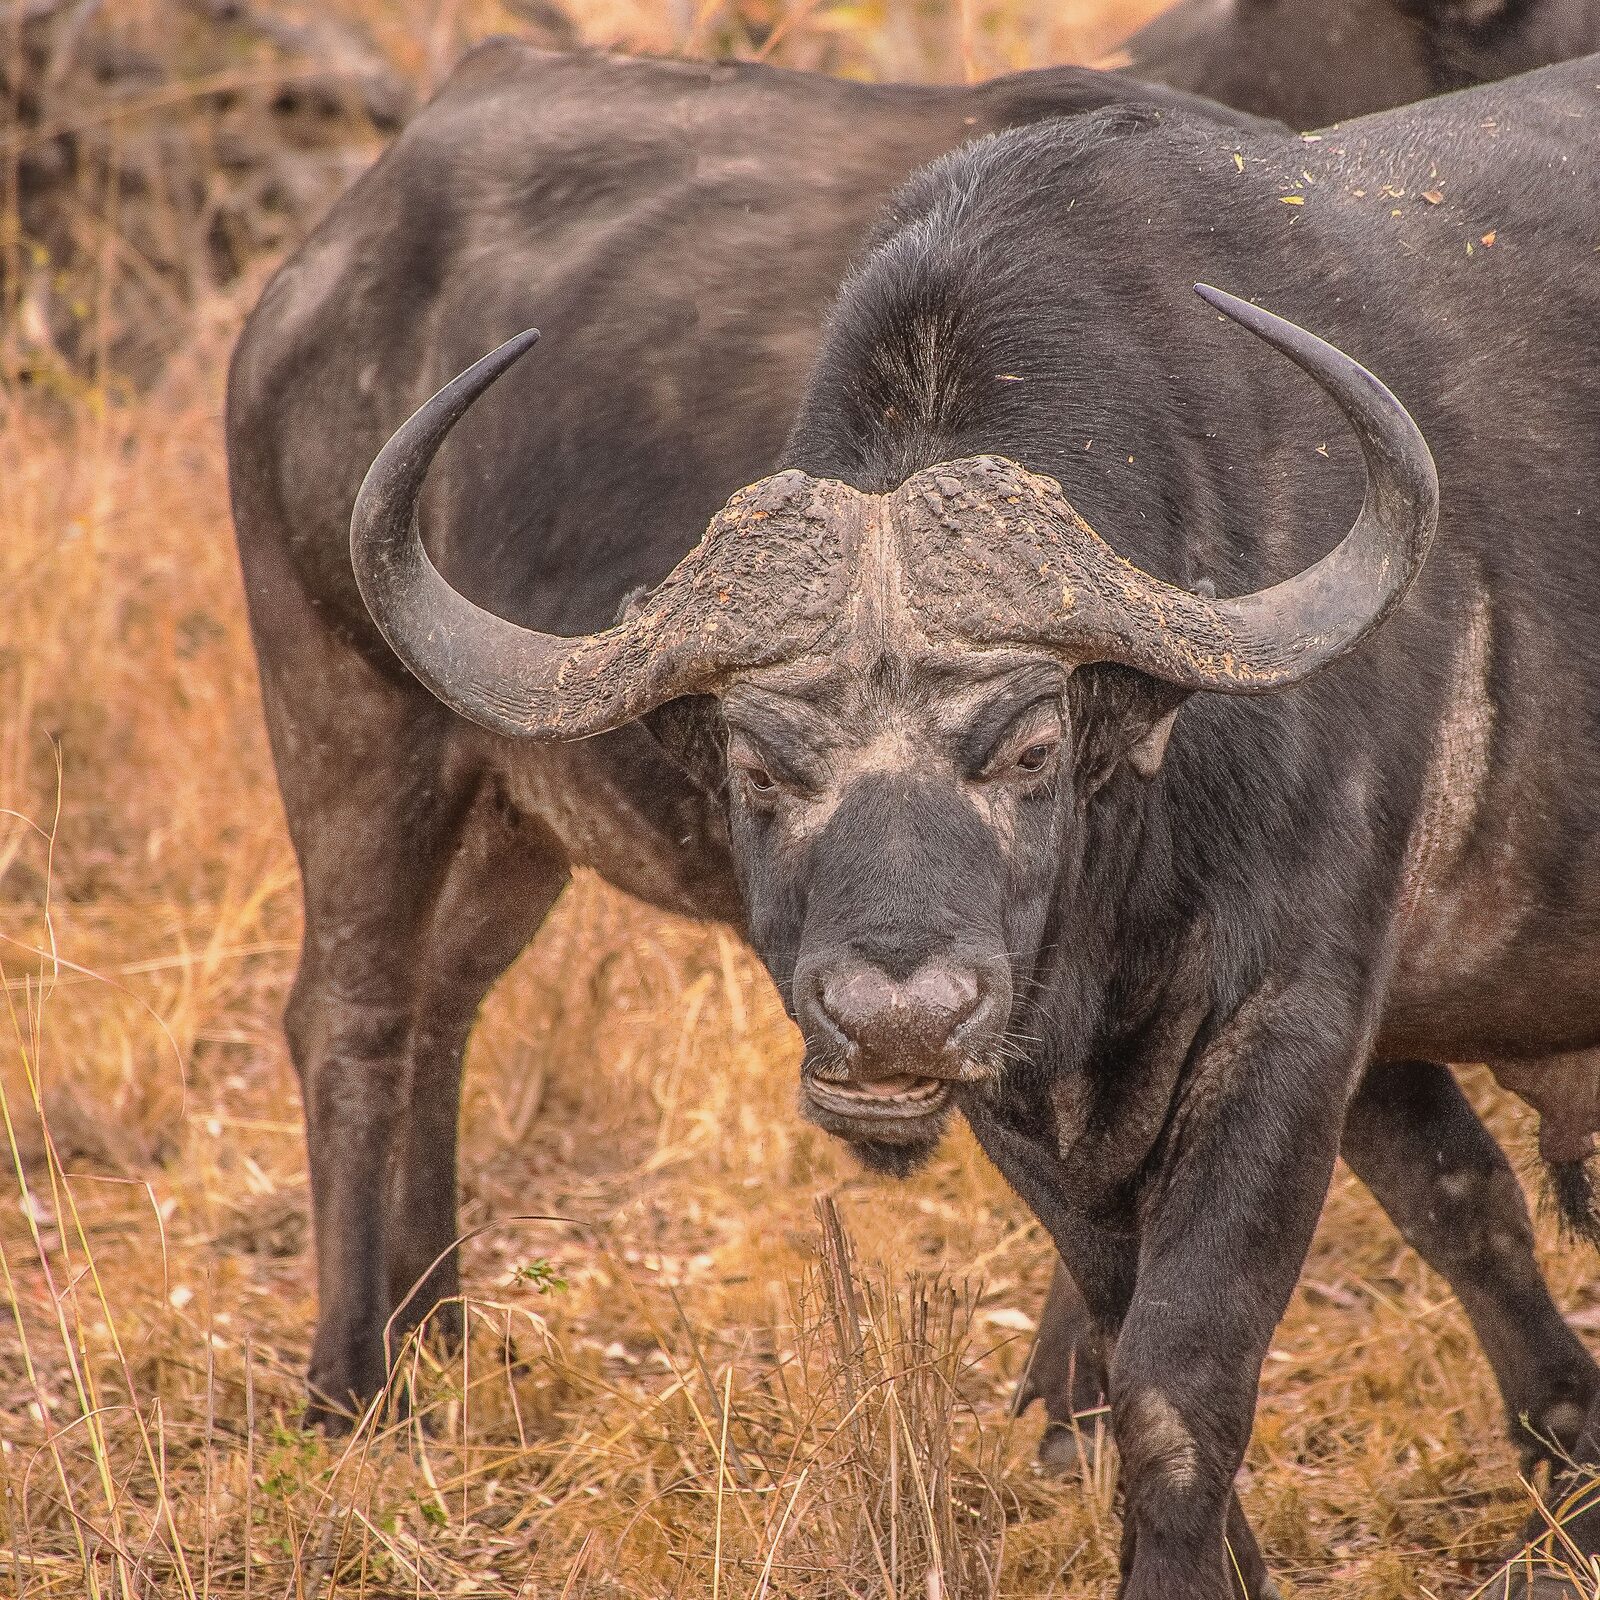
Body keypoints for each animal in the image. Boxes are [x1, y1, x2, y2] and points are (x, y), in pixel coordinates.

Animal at [343, 52, 1600, 1600]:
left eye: (1032, 748)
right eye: (758, 768)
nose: (896, 1018)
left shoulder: (1294, 1020)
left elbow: (1181, 1374)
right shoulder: (1027, 1084)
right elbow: (1132, 1329)